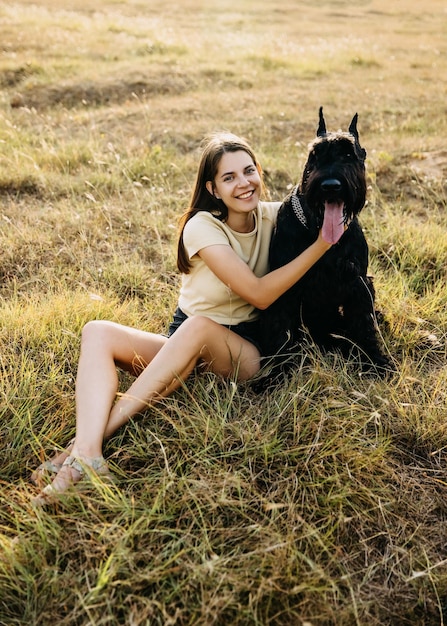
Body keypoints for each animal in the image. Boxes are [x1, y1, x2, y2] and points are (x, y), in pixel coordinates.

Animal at [260, 106, 390, 378]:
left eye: (350, 154)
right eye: (315, 154)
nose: (331, 186)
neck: (316, 229)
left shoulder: (357, 282)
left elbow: (363, 325)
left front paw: (373, 360)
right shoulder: (282, 286)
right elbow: (280, 331)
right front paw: (276, 374)